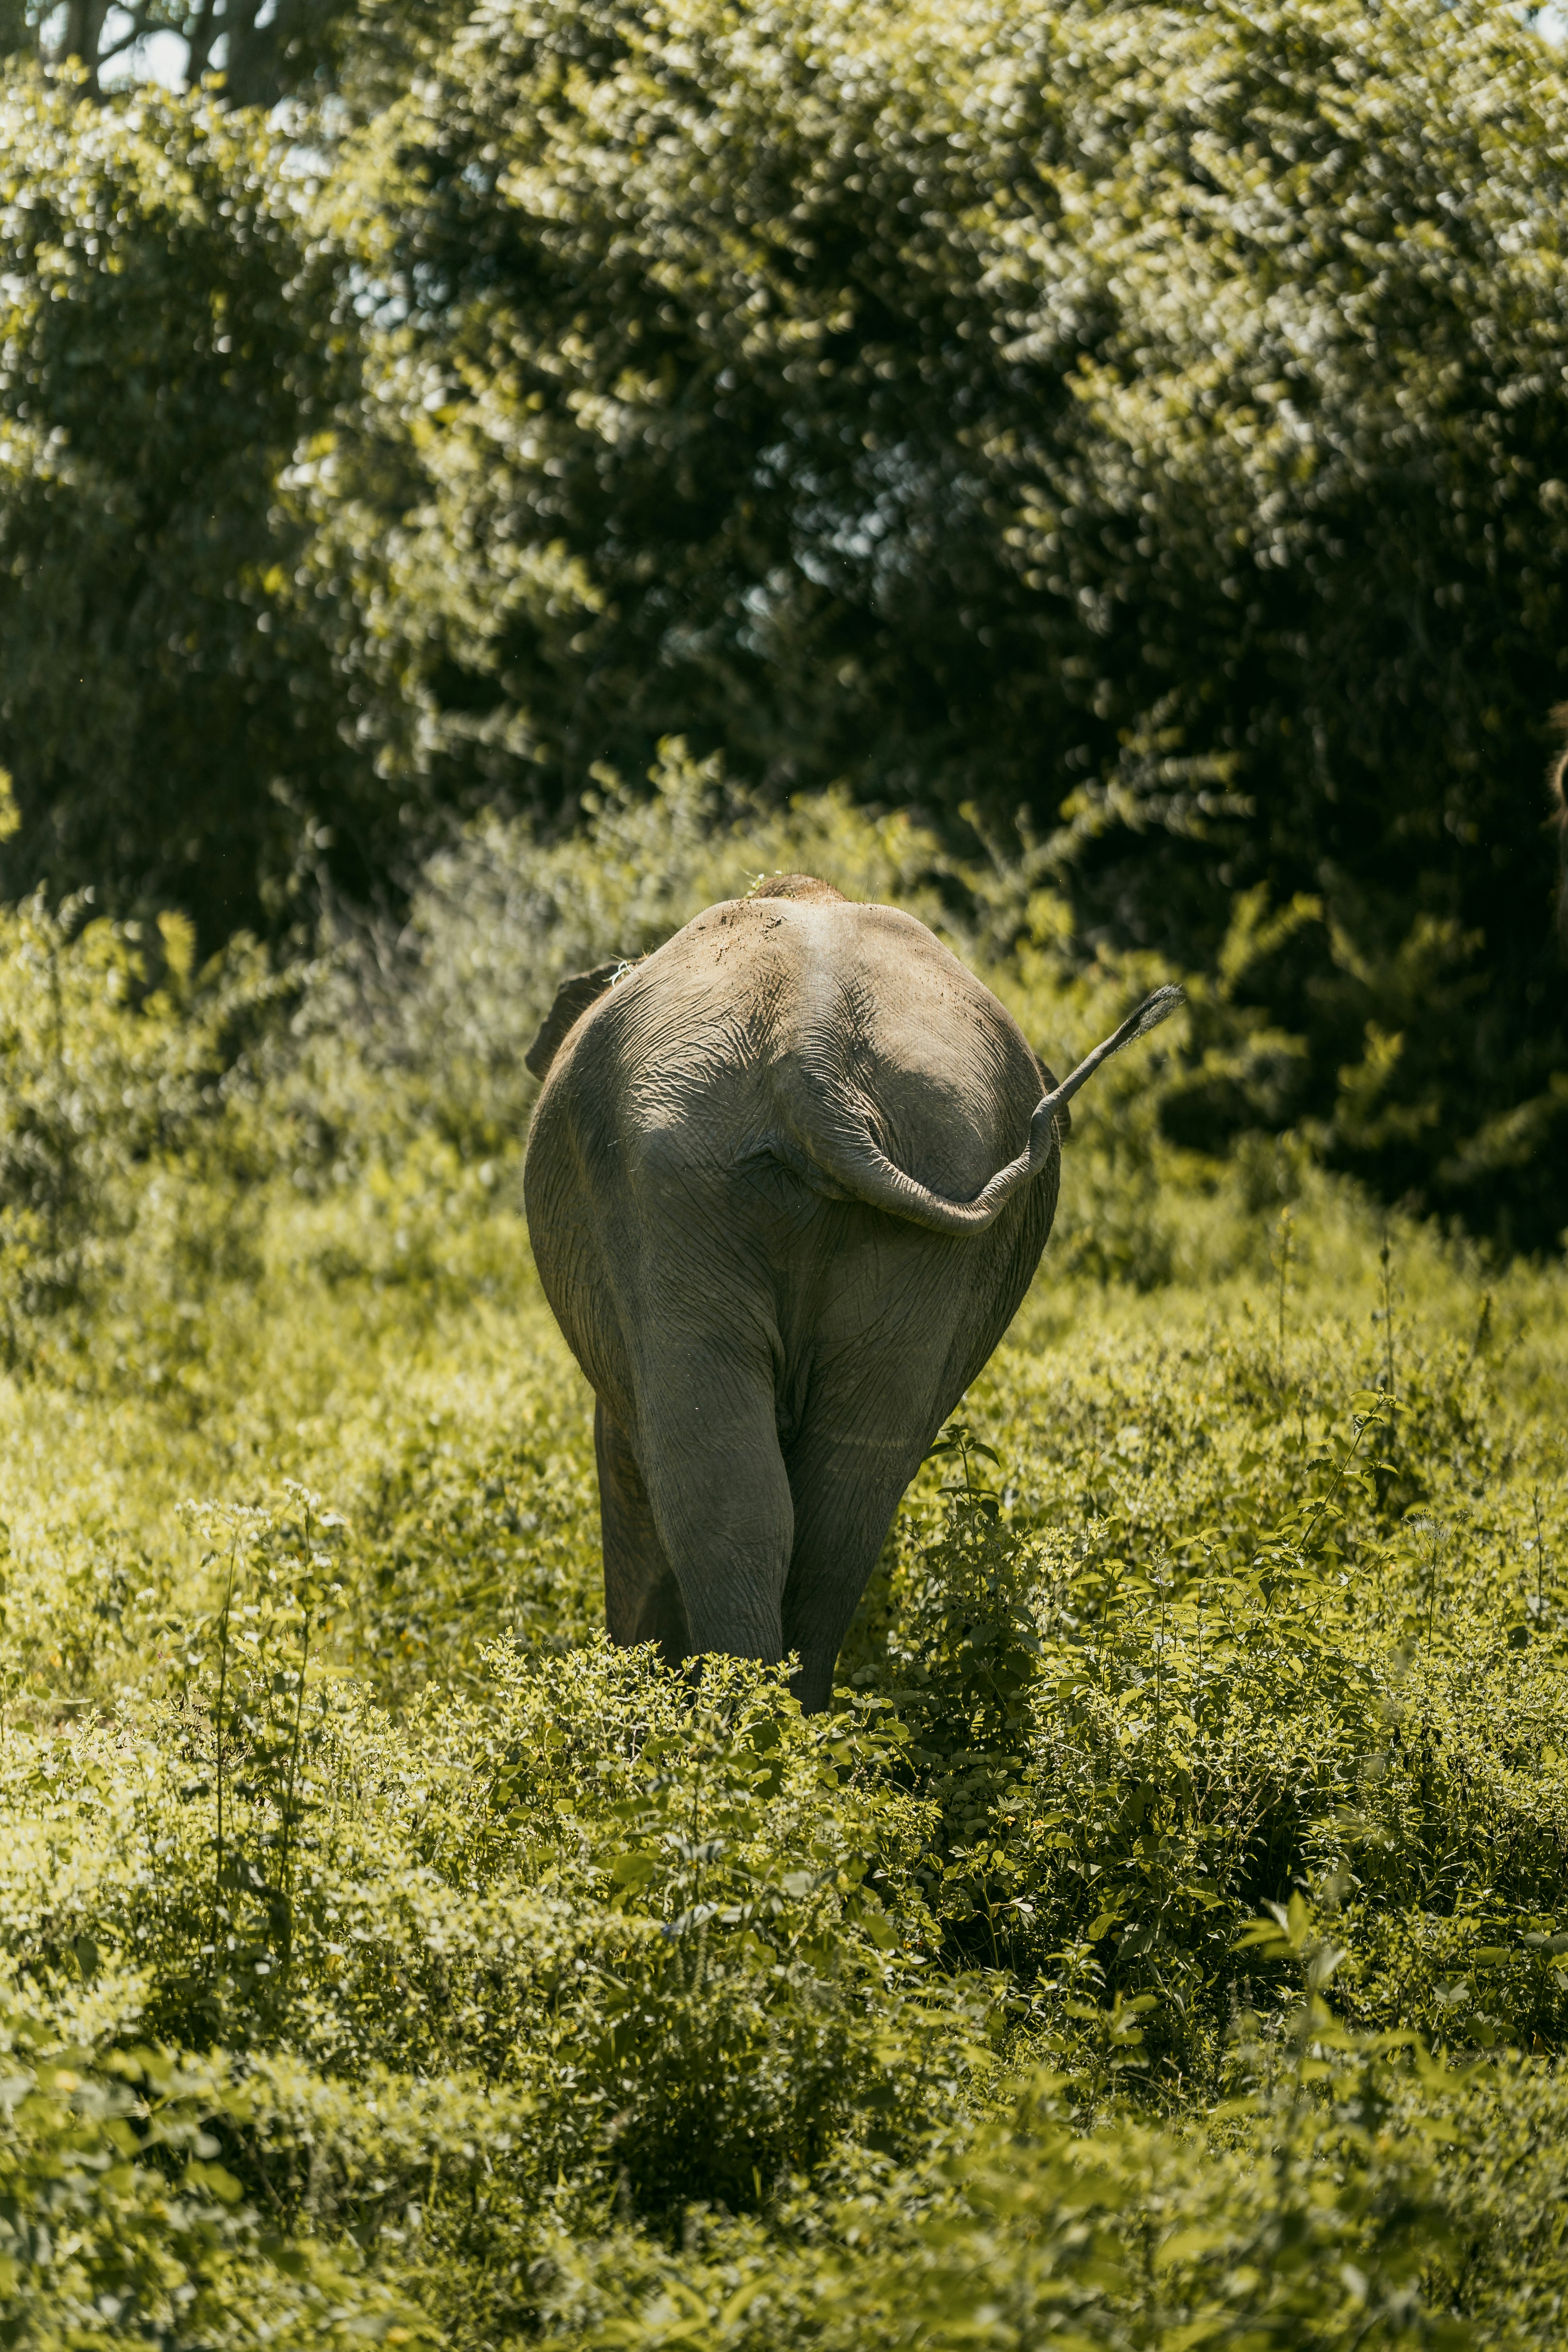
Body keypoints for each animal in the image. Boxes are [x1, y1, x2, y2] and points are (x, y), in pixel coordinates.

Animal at [523, 874, 1179, 1710]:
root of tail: (811, 1064)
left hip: (679, 1178)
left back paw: (742, 1723)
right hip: (845, 1171)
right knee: (826, 1502)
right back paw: (778, 1723)